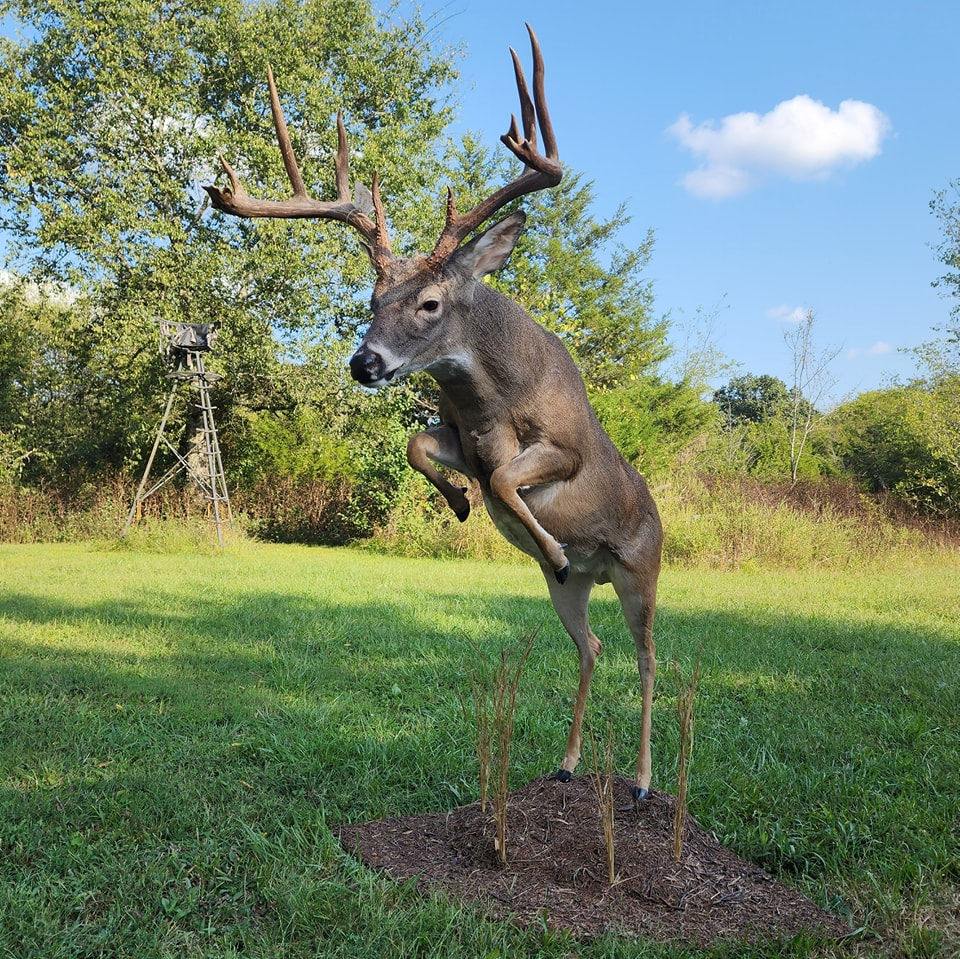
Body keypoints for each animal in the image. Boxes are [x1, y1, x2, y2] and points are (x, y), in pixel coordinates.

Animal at [205, 25, 663, 800]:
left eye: (428, 303)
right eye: (370, 299)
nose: (363, 364)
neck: (492, 403)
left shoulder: (565, 447)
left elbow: (510, 476)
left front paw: (543, 538)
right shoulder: (458, 434)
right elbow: (422, 449)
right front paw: (459, 503)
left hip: (642, 571)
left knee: (650, 656)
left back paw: (639, 779)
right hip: (575, 595)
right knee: (594, 646)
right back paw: (568, 760)